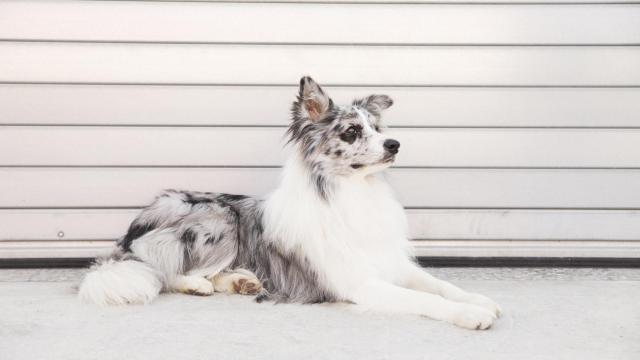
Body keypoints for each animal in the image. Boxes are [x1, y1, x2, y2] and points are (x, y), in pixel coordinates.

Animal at [79, 77, 500, 330]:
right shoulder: (359, 283)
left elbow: (439, 285)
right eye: (352, 131)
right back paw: (199, 284)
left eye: (378, 128)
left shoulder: (391, 263)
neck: (352, 193)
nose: (395, 144)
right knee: (162, 270)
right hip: (219, 221)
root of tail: (139, 221)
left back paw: (241, 281)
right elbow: (423, 299)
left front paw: (480, 299)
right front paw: (470, 314)